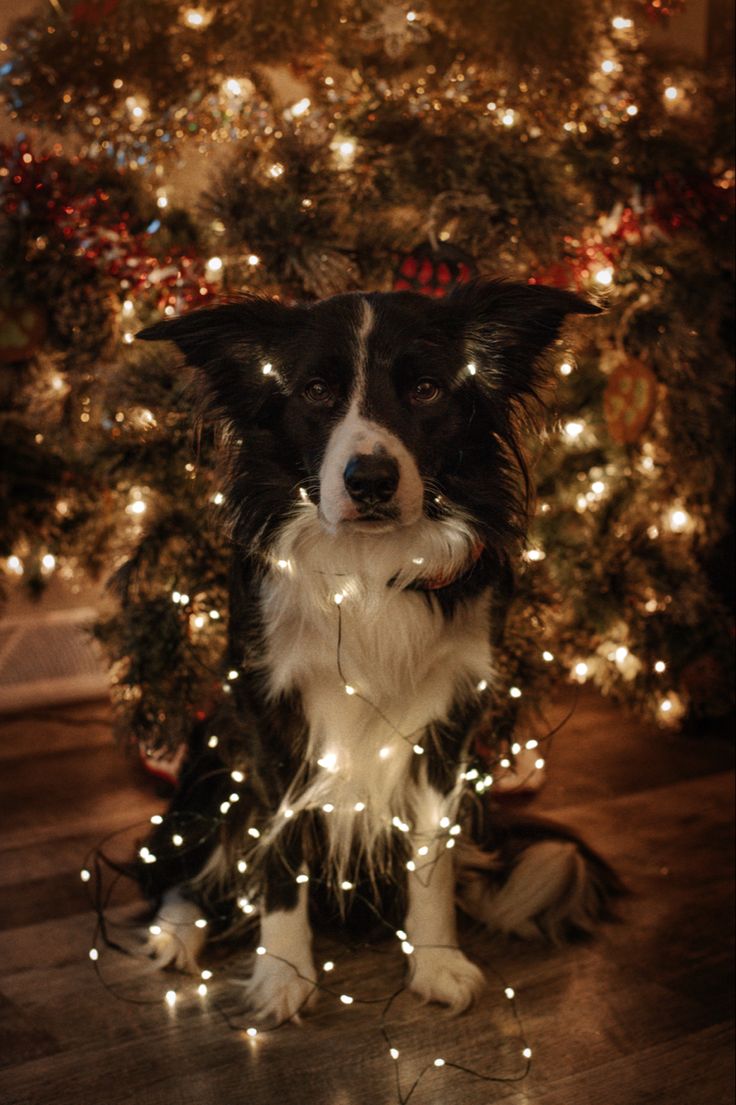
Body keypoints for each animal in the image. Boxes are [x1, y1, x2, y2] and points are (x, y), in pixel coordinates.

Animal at [135, 280, 614, 1021]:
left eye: (425, 388)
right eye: (314, 391)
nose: (370, 479)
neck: (366, 571)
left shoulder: (451, 715)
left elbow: (433, 849)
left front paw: (438, 959)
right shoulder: (269, 713)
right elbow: (281, 848)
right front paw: (283, 973)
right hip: (213, 761)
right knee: (186, 867)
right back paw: (176, 934)